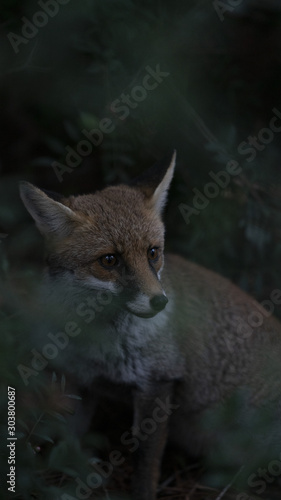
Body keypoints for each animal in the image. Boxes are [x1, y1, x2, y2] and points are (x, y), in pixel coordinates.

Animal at [20, 153, 281, 500]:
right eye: (109, 260)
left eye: (153, 253)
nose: (160, 302)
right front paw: (62, 482)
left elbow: (145, 464)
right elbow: (69, 443)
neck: (101, 344)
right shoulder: (82, 379)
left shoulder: (158, 383)